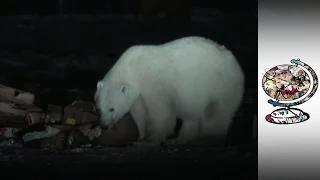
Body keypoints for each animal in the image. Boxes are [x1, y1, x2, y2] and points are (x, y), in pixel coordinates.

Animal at [94, 35, 244, 146]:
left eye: (112, 109)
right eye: (99, 109)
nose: (104, 126)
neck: (134, 68)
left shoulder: (154, 82)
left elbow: (160, 110)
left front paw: (152, 139)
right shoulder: (138, 94)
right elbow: (140, 112)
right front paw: (141, 136)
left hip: (221, 86)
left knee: (216, 114)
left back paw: (208, 138)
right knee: (192, 115)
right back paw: (180, 139)